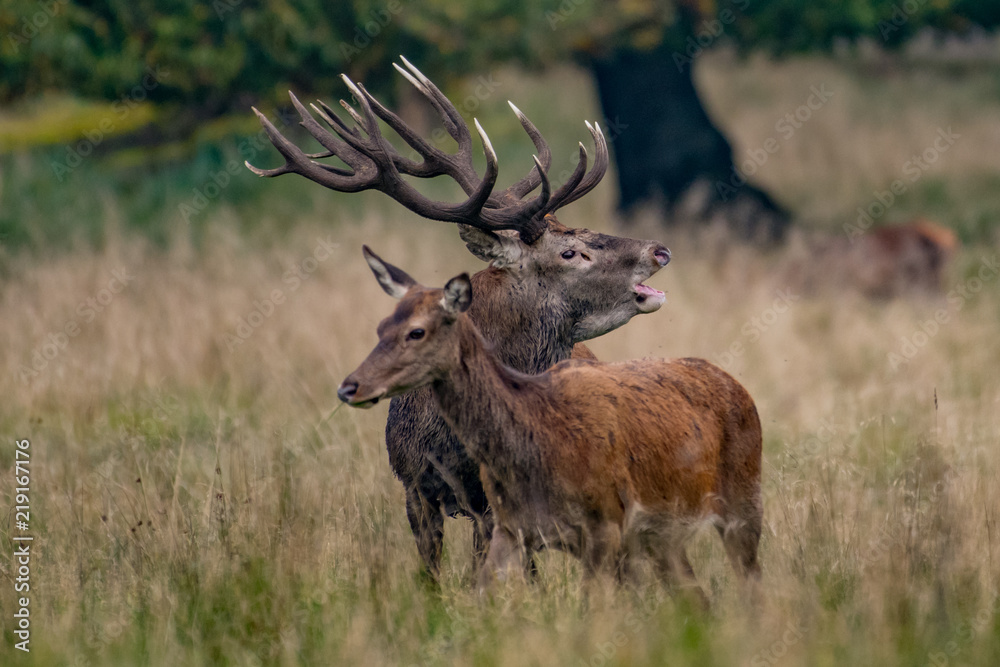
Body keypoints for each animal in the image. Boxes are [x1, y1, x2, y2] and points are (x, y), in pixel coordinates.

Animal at [247, 58, 672, 581]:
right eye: (570, 251)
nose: (659, 250)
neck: (454, 440)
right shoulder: (413, 484)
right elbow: (432, 572)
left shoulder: (501, 499)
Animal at [337, 247, 763, 601]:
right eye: (380, 328)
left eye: (418, 331)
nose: (350, 386)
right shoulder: (420, 489)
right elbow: (441, 579)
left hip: (738, 505)